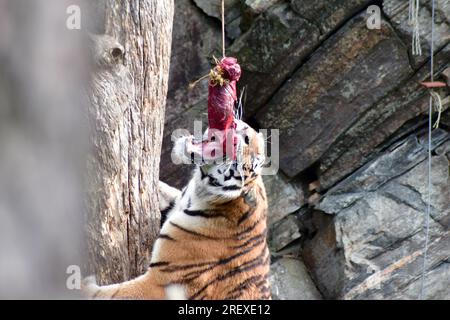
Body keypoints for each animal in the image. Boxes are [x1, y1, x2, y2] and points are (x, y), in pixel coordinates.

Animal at [82, 119, 268, 298]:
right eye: (249, 131)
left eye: (247, 142)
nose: (241, 127)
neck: (201, 194)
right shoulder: (178, 199)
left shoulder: (160, 281)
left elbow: (115, 293)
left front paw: (81, 285)